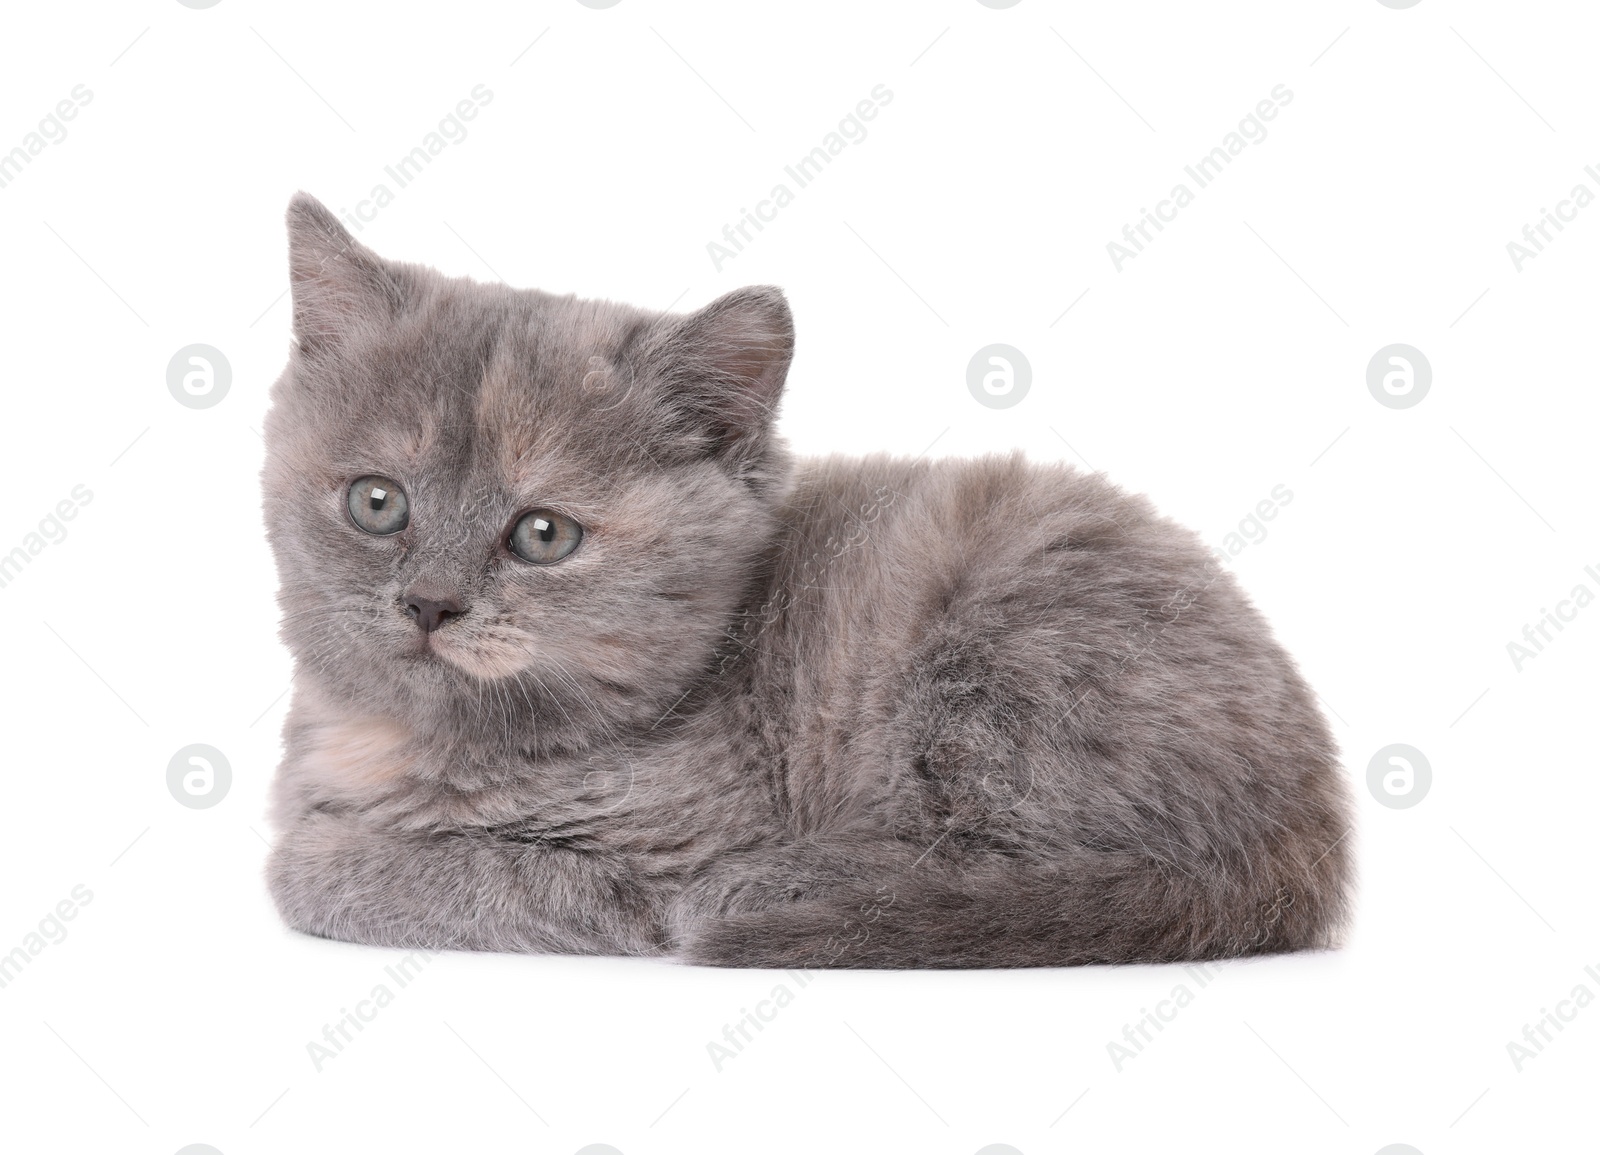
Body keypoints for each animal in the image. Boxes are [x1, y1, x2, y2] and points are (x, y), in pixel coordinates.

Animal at [262, 191, 1350, 959]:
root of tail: (1310, 824)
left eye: (541, 534)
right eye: (376, 502)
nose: (429, 603)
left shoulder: (649, 856)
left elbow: (318, 871)